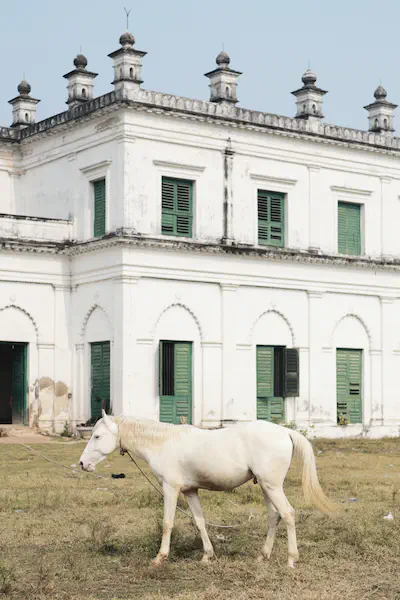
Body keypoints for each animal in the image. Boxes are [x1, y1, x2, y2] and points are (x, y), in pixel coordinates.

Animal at [79, 410, 334, 568]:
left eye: (97, 436)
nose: (82, 464)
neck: (163, 443)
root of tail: (285, 432)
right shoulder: (190, 491)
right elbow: (199, 521)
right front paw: (207, 555)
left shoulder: (170, 488)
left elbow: (167, 523)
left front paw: (160, 557)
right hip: (266, 487)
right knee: (274, 517)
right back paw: (263, 556)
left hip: (272, 487)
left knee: (288, 514)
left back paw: (291, 559)